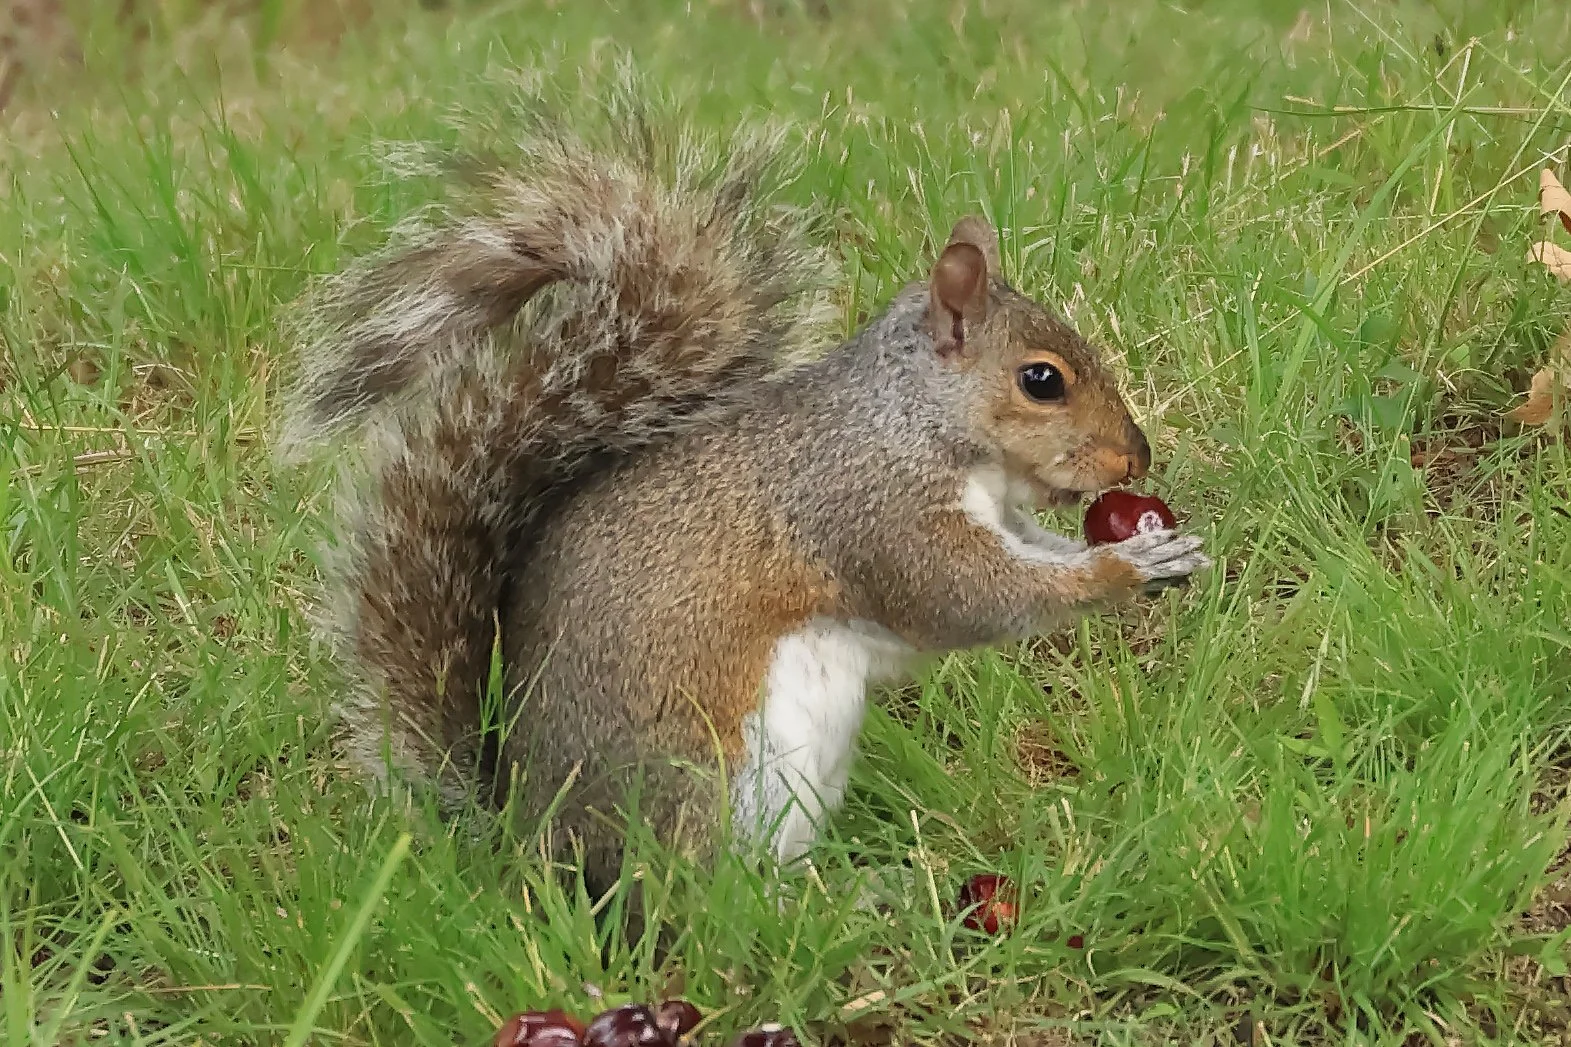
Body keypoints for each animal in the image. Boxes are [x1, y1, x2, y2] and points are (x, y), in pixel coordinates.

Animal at [280, 98, 1210, 900]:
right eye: (1040, 380)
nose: (1136, 453)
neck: (911, 419)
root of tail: (535, 847)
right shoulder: (868, 506)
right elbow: (965, 597)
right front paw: (1125, 567)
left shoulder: (995, 516)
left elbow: (1034, 557)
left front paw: (1154, 548)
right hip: (709, 778)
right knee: (710, 899)